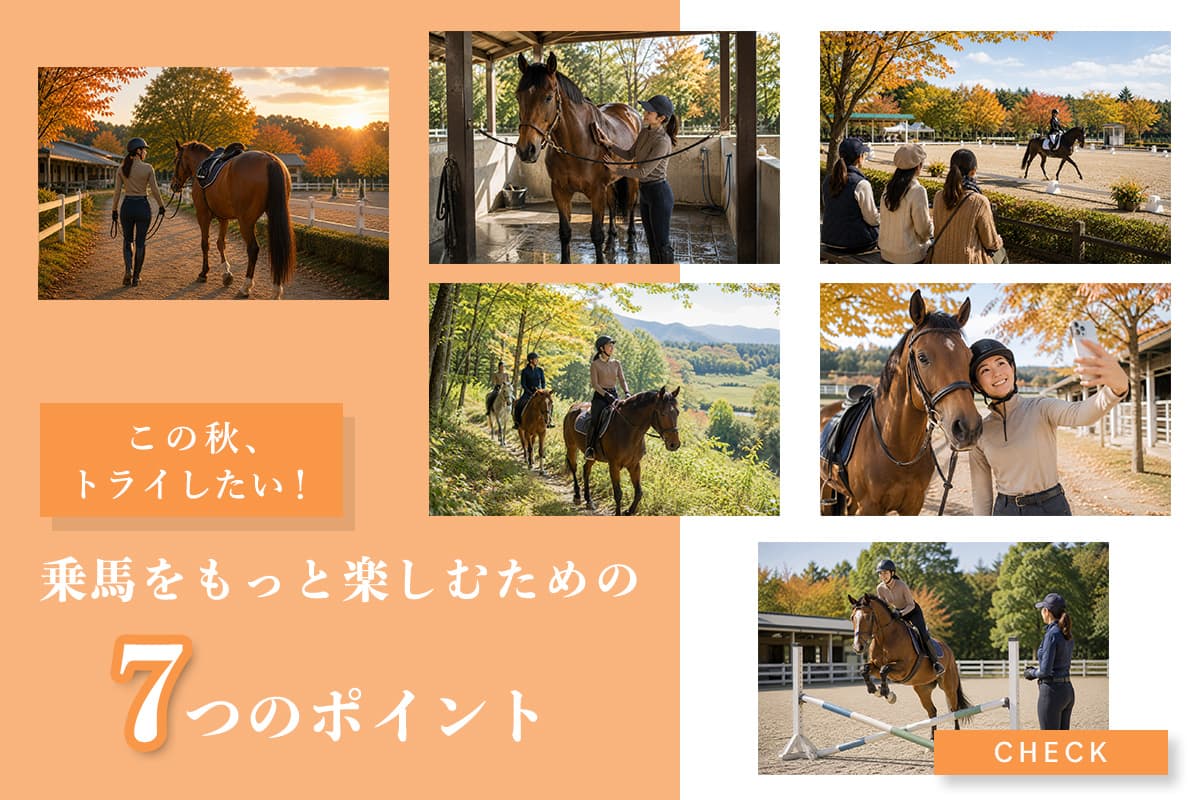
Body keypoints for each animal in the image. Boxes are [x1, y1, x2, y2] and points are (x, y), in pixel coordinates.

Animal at [170, 140, 296, 299]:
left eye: (176, 160)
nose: (173, 185)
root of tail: (270, 160)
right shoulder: (223, 218)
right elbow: (220, 243)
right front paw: (226, 274)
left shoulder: (203, 215)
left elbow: (205, 244)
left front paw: (204, 273)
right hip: (273, 215)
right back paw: (276, 289)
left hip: (246, 222)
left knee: (253, 249)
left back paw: (245, 287)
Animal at [515, 52, 641, 264]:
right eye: (518, 96)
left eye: (548, 97)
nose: (526, 149)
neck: (576, 145)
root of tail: (631, 113)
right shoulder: (560, 191)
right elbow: (565, 232)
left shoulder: (597, 192)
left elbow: (596, 234)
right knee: (613, 205)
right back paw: (611, 243)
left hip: (633, 177)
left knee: (631, 205)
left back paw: (631, 240)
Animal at [563, 387, 681, 516]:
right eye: (662, 413)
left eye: (677, 412)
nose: (674, 444)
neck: (629, 430)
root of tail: (573, 407)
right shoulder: (614, 465)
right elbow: (618, 493)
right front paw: (619, 513)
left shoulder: (634, 465)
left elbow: (639, 492)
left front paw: (629, 511)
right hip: (571, 447)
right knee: (574, 467)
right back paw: (577, 496)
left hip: (592, 456)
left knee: (586, 470)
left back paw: (589, 501)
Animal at [820, 290, 981, 515]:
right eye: (922, 357)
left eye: (969, 356)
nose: (968, 428)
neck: (900, 450)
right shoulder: (869, 508)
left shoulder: (913, 506)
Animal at [848, 593, 971, 739]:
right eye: (852, 617)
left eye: (868, 617)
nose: (858, 647)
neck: (884, 638)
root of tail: (949, 650)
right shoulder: (875, 666)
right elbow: (865, 669)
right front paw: (875, 690)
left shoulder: (903, 668)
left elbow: (885, 669)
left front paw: (886, 693)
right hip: (922, 689)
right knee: (932, 711)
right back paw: (932, 737)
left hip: (948, 686)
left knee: (954, 709)